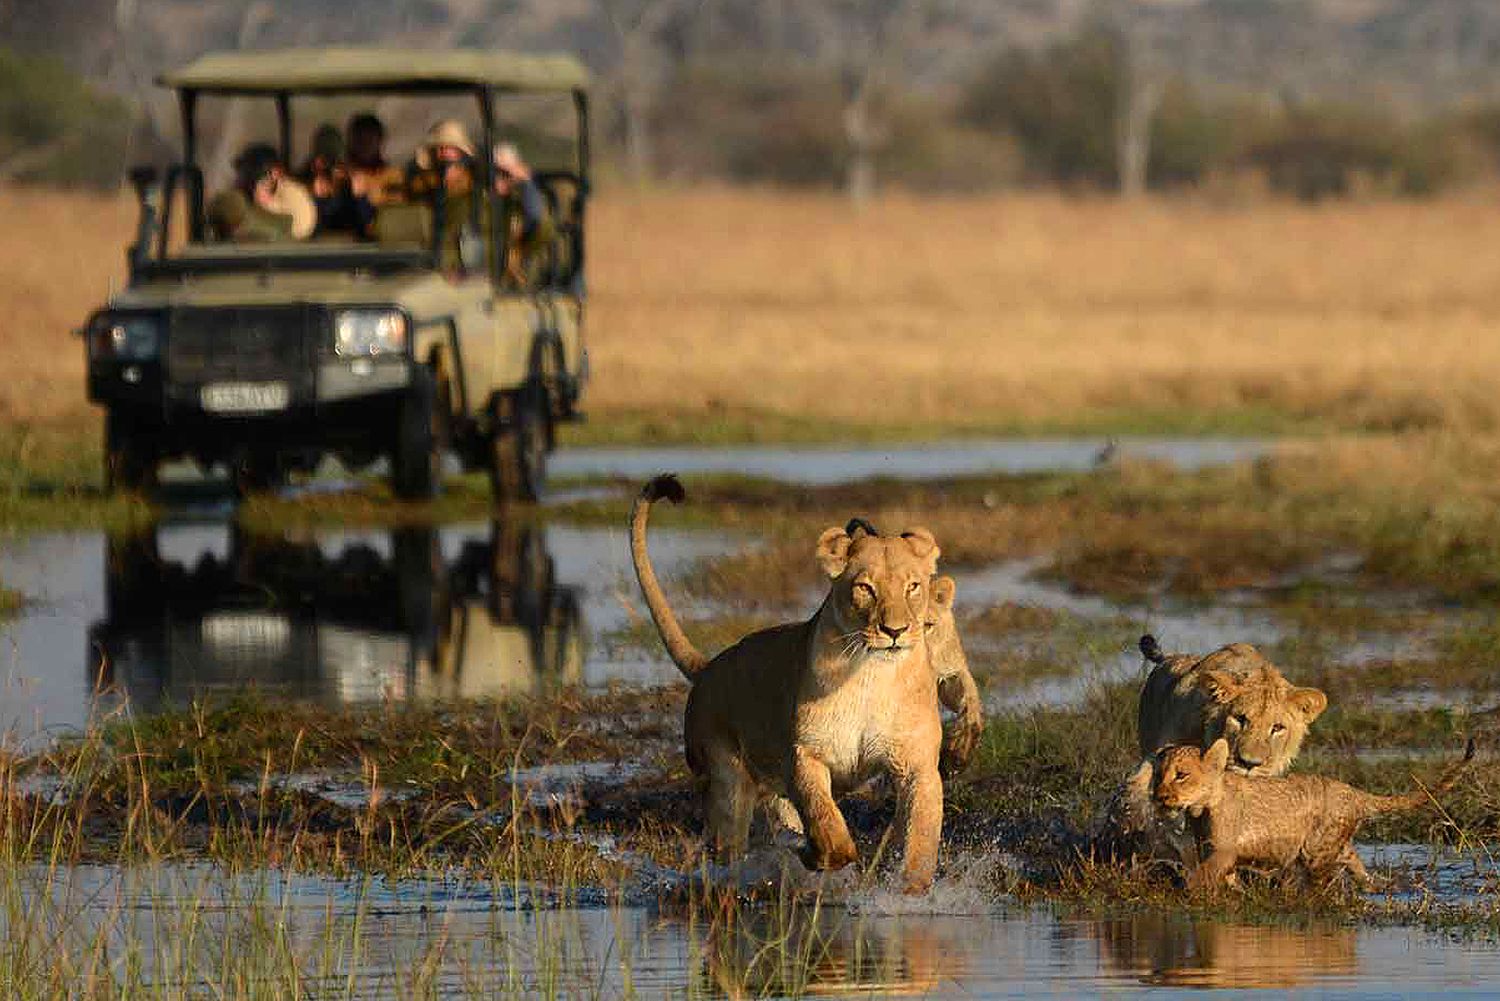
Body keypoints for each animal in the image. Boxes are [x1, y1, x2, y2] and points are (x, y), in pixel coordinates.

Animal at [633, 477, 948, 894]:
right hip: (726, 780)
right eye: (865, 588)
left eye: (913, 586)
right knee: (728, 845)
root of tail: (709, 666)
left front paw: (909, 891)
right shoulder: (805, 754)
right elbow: (826, 820)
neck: (872, 675)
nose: (894, 631)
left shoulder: (918, 764)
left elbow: (920, 840)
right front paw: (816, 854)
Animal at [1152, 732, 1470, 888]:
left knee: (1321, 883)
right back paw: (1376, 887)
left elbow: (1202, 877)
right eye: (1158, 775)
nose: (1159, 796)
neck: (1199, 809)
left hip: (1317, 852)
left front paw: (1186, 893)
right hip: (1336, 846)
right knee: (1354, 865)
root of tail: (1354, 791)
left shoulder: (1224, 851)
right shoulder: (1211, 850)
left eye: (1181, 775)